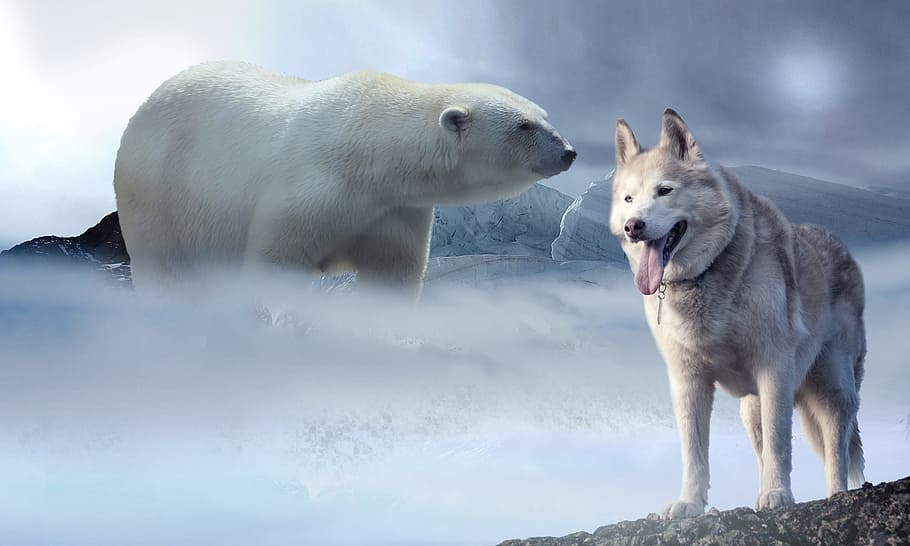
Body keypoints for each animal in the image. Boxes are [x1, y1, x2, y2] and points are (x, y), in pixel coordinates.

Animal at [113, 61, 576, 296]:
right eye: (523, 126)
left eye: (545, 116)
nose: (568, 152)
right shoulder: (311, 188)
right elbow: (277, 261)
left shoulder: (395, 209)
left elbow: (393, 272)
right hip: (159, 191)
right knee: (164, 264)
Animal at [609, 109, 866, 518]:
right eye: (629, 198)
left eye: (664, 190)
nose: (634, 227)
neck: (706, 275)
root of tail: (842, 247)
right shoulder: (688, 381)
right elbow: (695, 452)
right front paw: (690, 503)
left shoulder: (773, 368)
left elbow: (781, 443)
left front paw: (777, 494)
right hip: (752, 409)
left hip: (832, 388)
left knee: (835, 448)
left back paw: (835, 495)